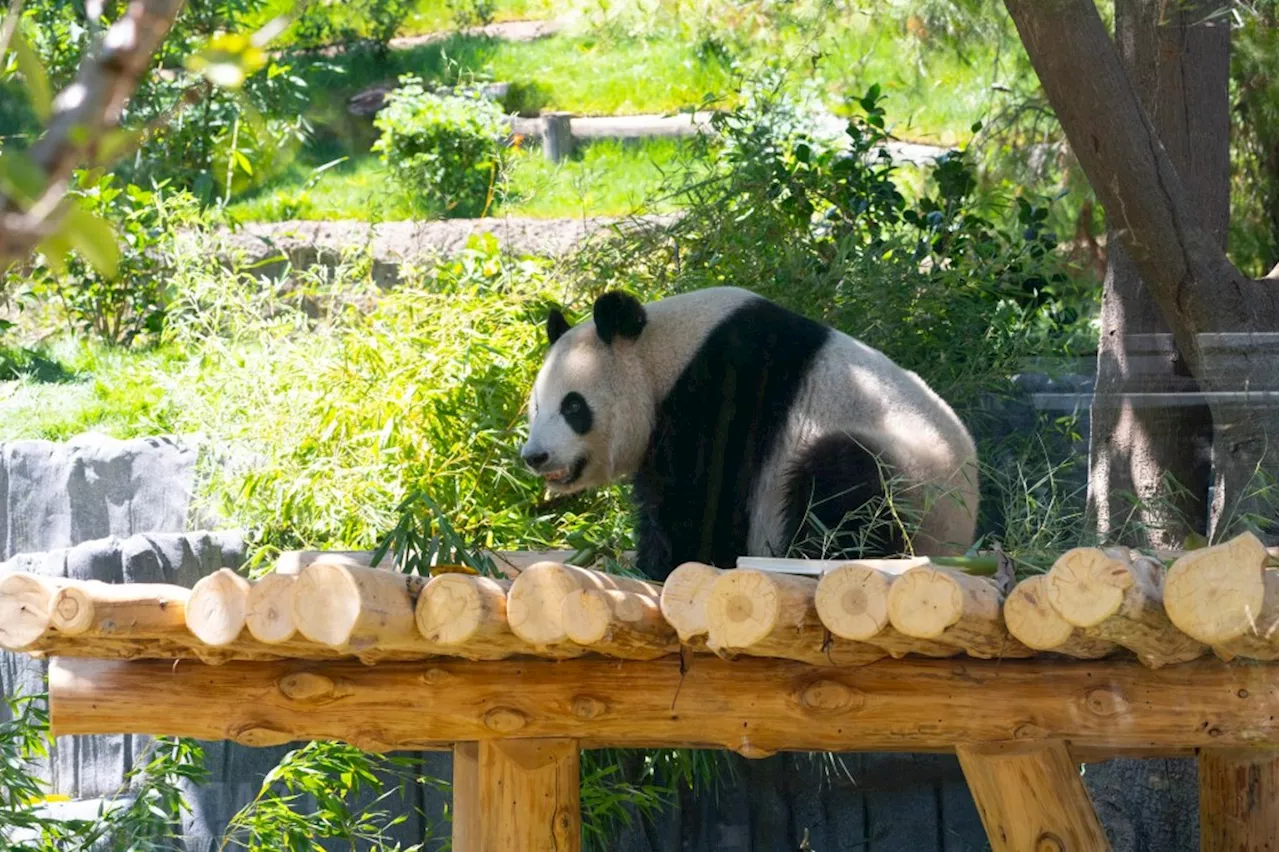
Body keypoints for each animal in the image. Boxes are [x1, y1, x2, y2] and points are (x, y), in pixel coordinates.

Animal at [519, 284, 977, 578]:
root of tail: (960, 540)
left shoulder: (721, 387)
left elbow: (698, 498)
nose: (535, 456)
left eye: (573, 406)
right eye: (537, 407)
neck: (660, 354)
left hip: (911, 476)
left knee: (848, 489)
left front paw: (654, 566)